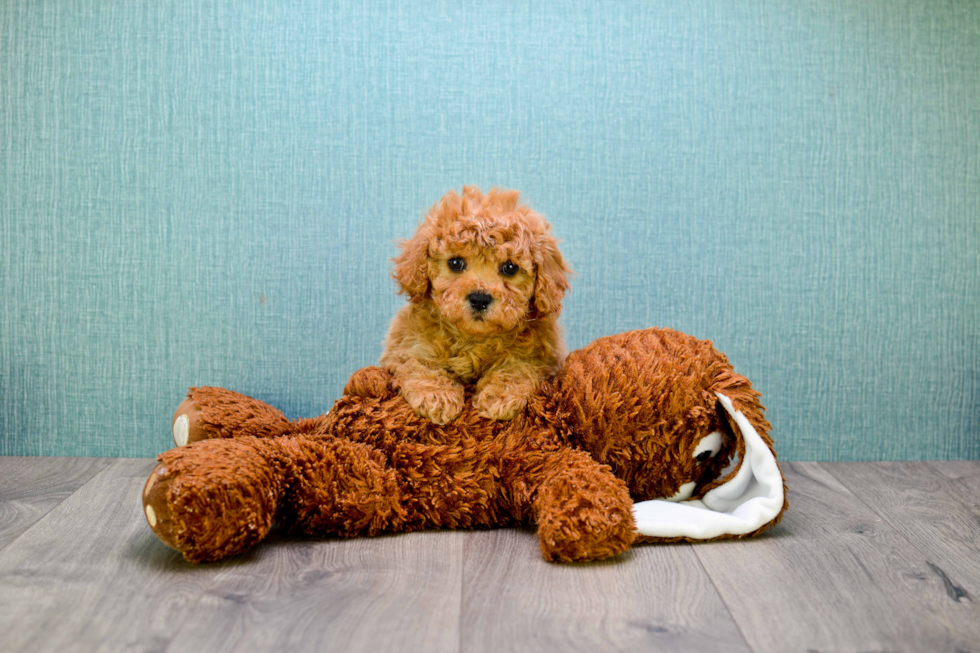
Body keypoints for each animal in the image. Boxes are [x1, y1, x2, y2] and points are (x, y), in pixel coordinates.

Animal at [378, 187, 572, 422]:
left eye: (510, 268)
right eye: (455, 263)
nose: (480, 298)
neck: (474, 338)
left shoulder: (542, 357)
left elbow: (519, 367)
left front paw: (500, 397)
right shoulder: (406, 344)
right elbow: (419, 363)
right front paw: (436, 396)